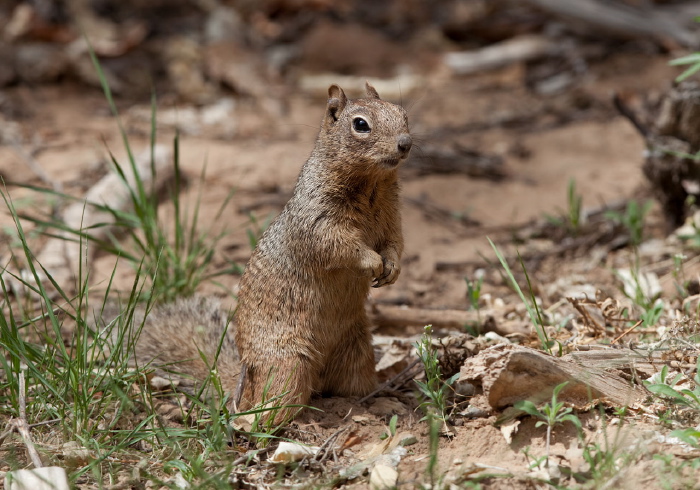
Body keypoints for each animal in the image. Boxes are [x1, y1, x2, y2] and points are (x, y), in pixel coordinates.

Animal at [127, 83, 410, 422]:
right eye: (360, 124)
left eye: (403, 113)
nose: (405, 144)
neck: (371, 187)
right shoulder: (317, 220)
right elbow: (339, 245)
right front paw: (372, 261)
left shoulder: (392, 218)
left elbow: (396, 243)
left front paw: (392, 267)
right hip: (286, 364)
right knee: (273, 405)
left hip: (357, 354)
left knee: (347, 389)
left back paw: (381, 401)